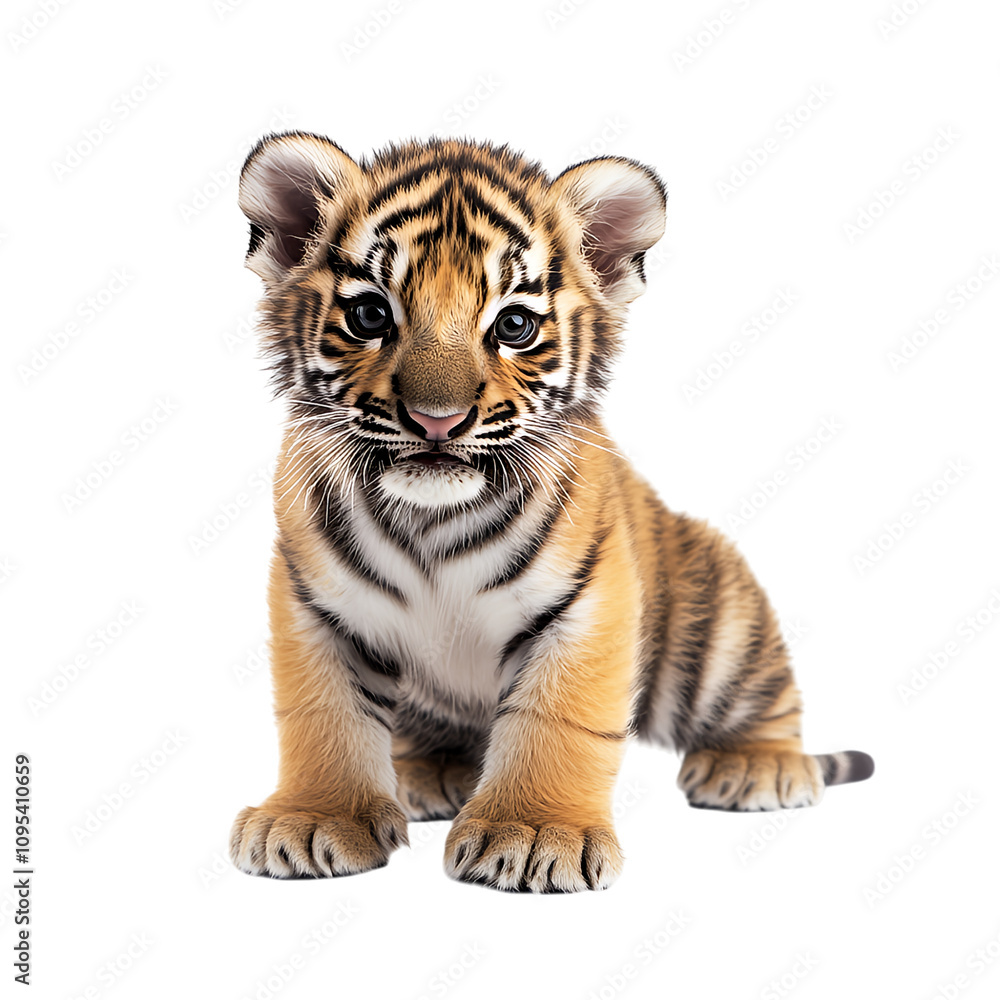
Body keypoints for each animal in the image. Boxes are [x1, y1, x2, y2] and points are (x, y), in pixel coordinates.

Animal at [227, 131, 874, 893]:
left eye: (513, 325)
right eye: (369, 316)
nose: (437, 420)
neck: (430, 523)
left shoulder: (589, 600)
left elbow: (556, 718)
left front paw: (534, 834)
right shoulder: (312, 602)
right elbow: (322, 711)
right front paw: (312, 818)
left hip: (715, 629)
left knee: (763, 696)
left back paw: (755, 766)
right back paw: (429, 772)